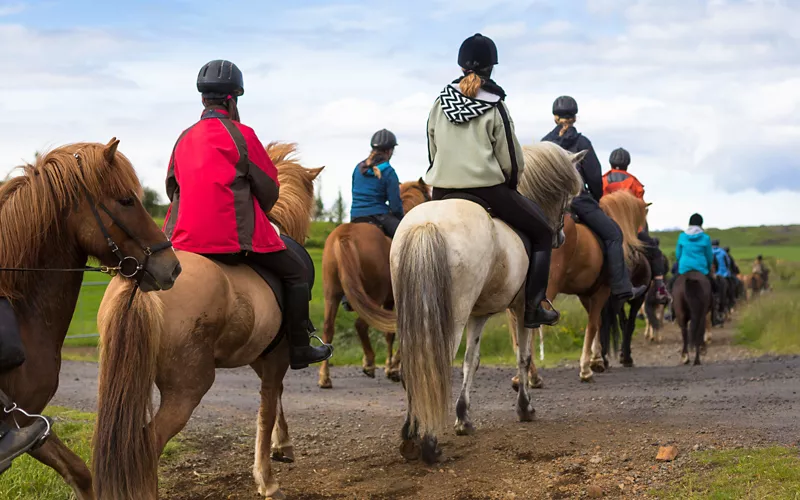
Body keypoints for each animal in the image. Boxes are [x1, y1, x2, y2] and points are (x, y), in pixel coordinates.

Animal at [94, 144, 324, 500]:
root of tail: (144, 283)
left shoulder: (261, 354)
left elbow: (276, 399)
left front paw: (281, 445)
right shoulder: (277, 356)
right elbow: (267, 408)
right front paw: (267, 479)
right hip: (188, 387)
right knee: (149, 443)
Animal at [318, 178, 432, 388]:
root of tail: (345, 235)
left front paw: (390, 366)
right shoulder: (394, 300)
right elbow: (394, 332)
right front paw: (392, 368)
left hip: (332, 294)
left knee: (328, 329)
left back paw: (325, 377)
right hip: (375, 294)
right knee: (361, 325)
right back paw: (370, 363)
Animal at [392, 143, 584, 462]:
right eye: (567, 199)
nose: (560, 236)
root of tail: (427, 224)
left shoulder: (478, 316)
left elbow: (472, 361)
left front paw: (463, 418)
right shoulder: (520, 310)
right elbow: (523, 356)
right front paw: (525, 408)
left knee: (414, 365)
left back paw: (411, 435)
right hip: (451, 318)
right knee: (434, 366)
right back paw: (430, 443)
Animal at [512, 189, 648, 384]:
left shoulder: (586, 294)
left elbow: (597, 323)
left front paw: (596, 360)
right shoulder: (602, 291)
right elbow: (592, 325)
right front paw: (586, 369)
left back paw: (520, 375)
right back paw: (533, 376)